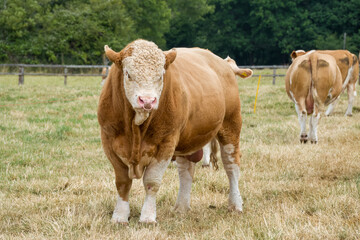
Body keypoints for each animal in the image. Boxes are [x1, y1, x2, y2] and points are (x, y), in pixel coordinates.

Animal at [97, 39, 252, 223]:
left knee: (231, 166)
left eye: (160, 76)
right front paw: (120, 216)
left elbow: (152, 181)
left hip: (231, 125)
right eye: (128, 74)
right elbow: (122, 182)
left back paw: (235, 205)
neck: (136, 128)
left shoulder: (166, 143)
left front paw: (147, 217)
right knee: (186, 171)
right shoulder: (109, 141)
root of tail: (224, 64)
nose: (147, 101)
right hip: (188, 139)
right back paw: (181, 207)